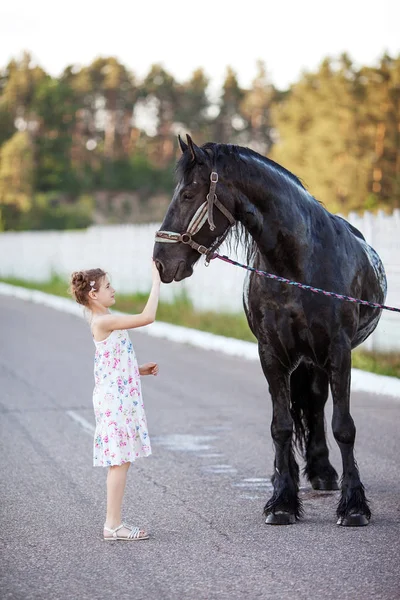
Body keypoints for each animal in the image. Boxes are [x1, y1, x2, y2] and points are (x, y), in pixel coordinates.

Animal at [153, 135, 388, 524]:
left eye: (187, 194)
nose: (160, 261)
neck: (297, 264)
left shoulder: (338, 352)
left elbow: (343, 426)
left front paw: (354, 505)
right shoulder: (271, 353)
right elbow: (281, 426)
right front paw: (282, 502)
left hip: (316, 359)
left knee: (317, 405)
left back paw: (323, 473)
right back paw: (291, 476)